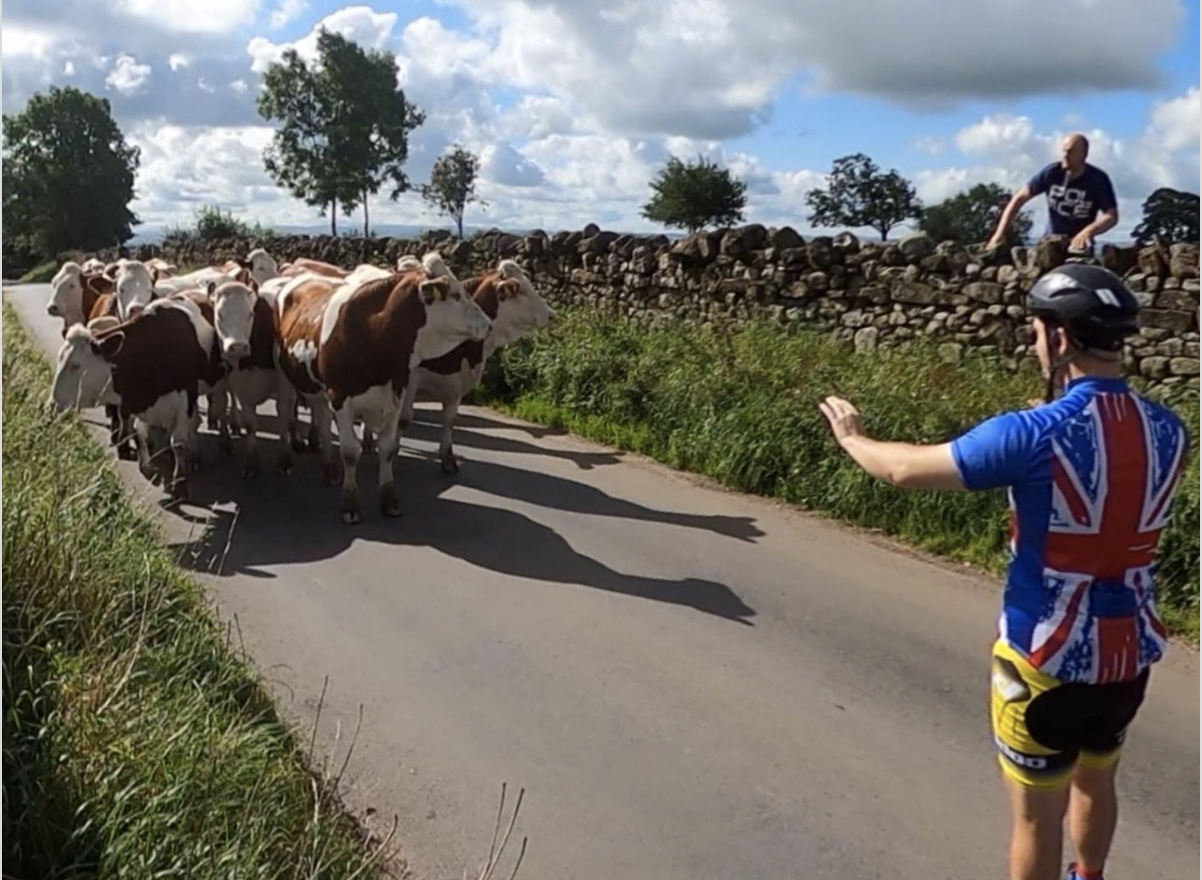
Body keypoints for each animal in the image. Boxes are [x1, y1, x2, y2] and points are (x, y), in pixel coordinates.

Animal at [49, 296, 227, 497]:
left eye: (76, 365)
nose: (52, 404)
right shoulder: (136, 402)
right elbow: (138, 433)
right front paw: (149, 469)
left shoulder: (185, 399)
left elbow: (179, 443)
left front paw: (180, 484)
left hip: (219, 382)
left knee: (219, 409)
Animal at [399, 257, 557, 471]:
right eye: (522, 290)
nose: (551, 314)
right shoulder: (411, 379)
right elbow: (402, 419)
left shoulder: (455, 383)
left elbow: (450, 420)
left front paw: (448, 458)